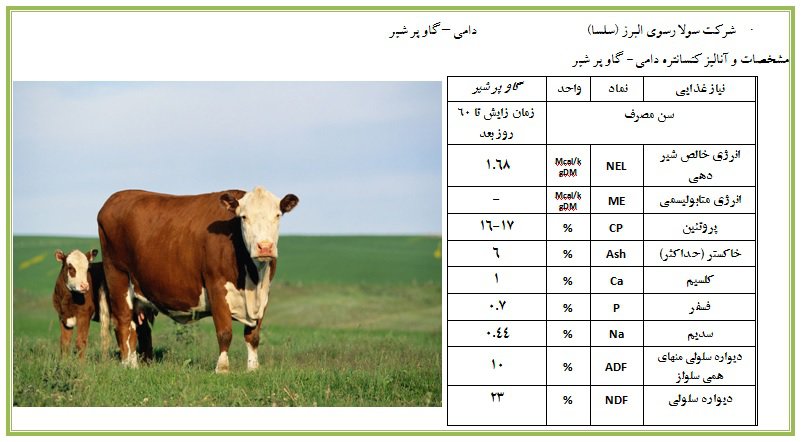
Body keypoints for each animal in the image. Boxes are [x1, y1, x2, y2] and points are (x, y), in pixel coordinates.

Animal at [97, 186, 298, 372]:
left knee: (140, 329)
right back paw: (128, 365)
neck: (253, 280)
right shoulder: (216, 286)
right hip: (118, 276)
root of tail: (116, 197)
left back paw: (139, 362)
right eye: (244, 217)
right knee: (123, 321)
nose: (265, 247)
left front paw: (253, 368)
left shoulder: (263, 294)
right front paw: (222, 368)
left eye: (278, 215)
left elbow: (253, 336)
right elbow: (225, 332)